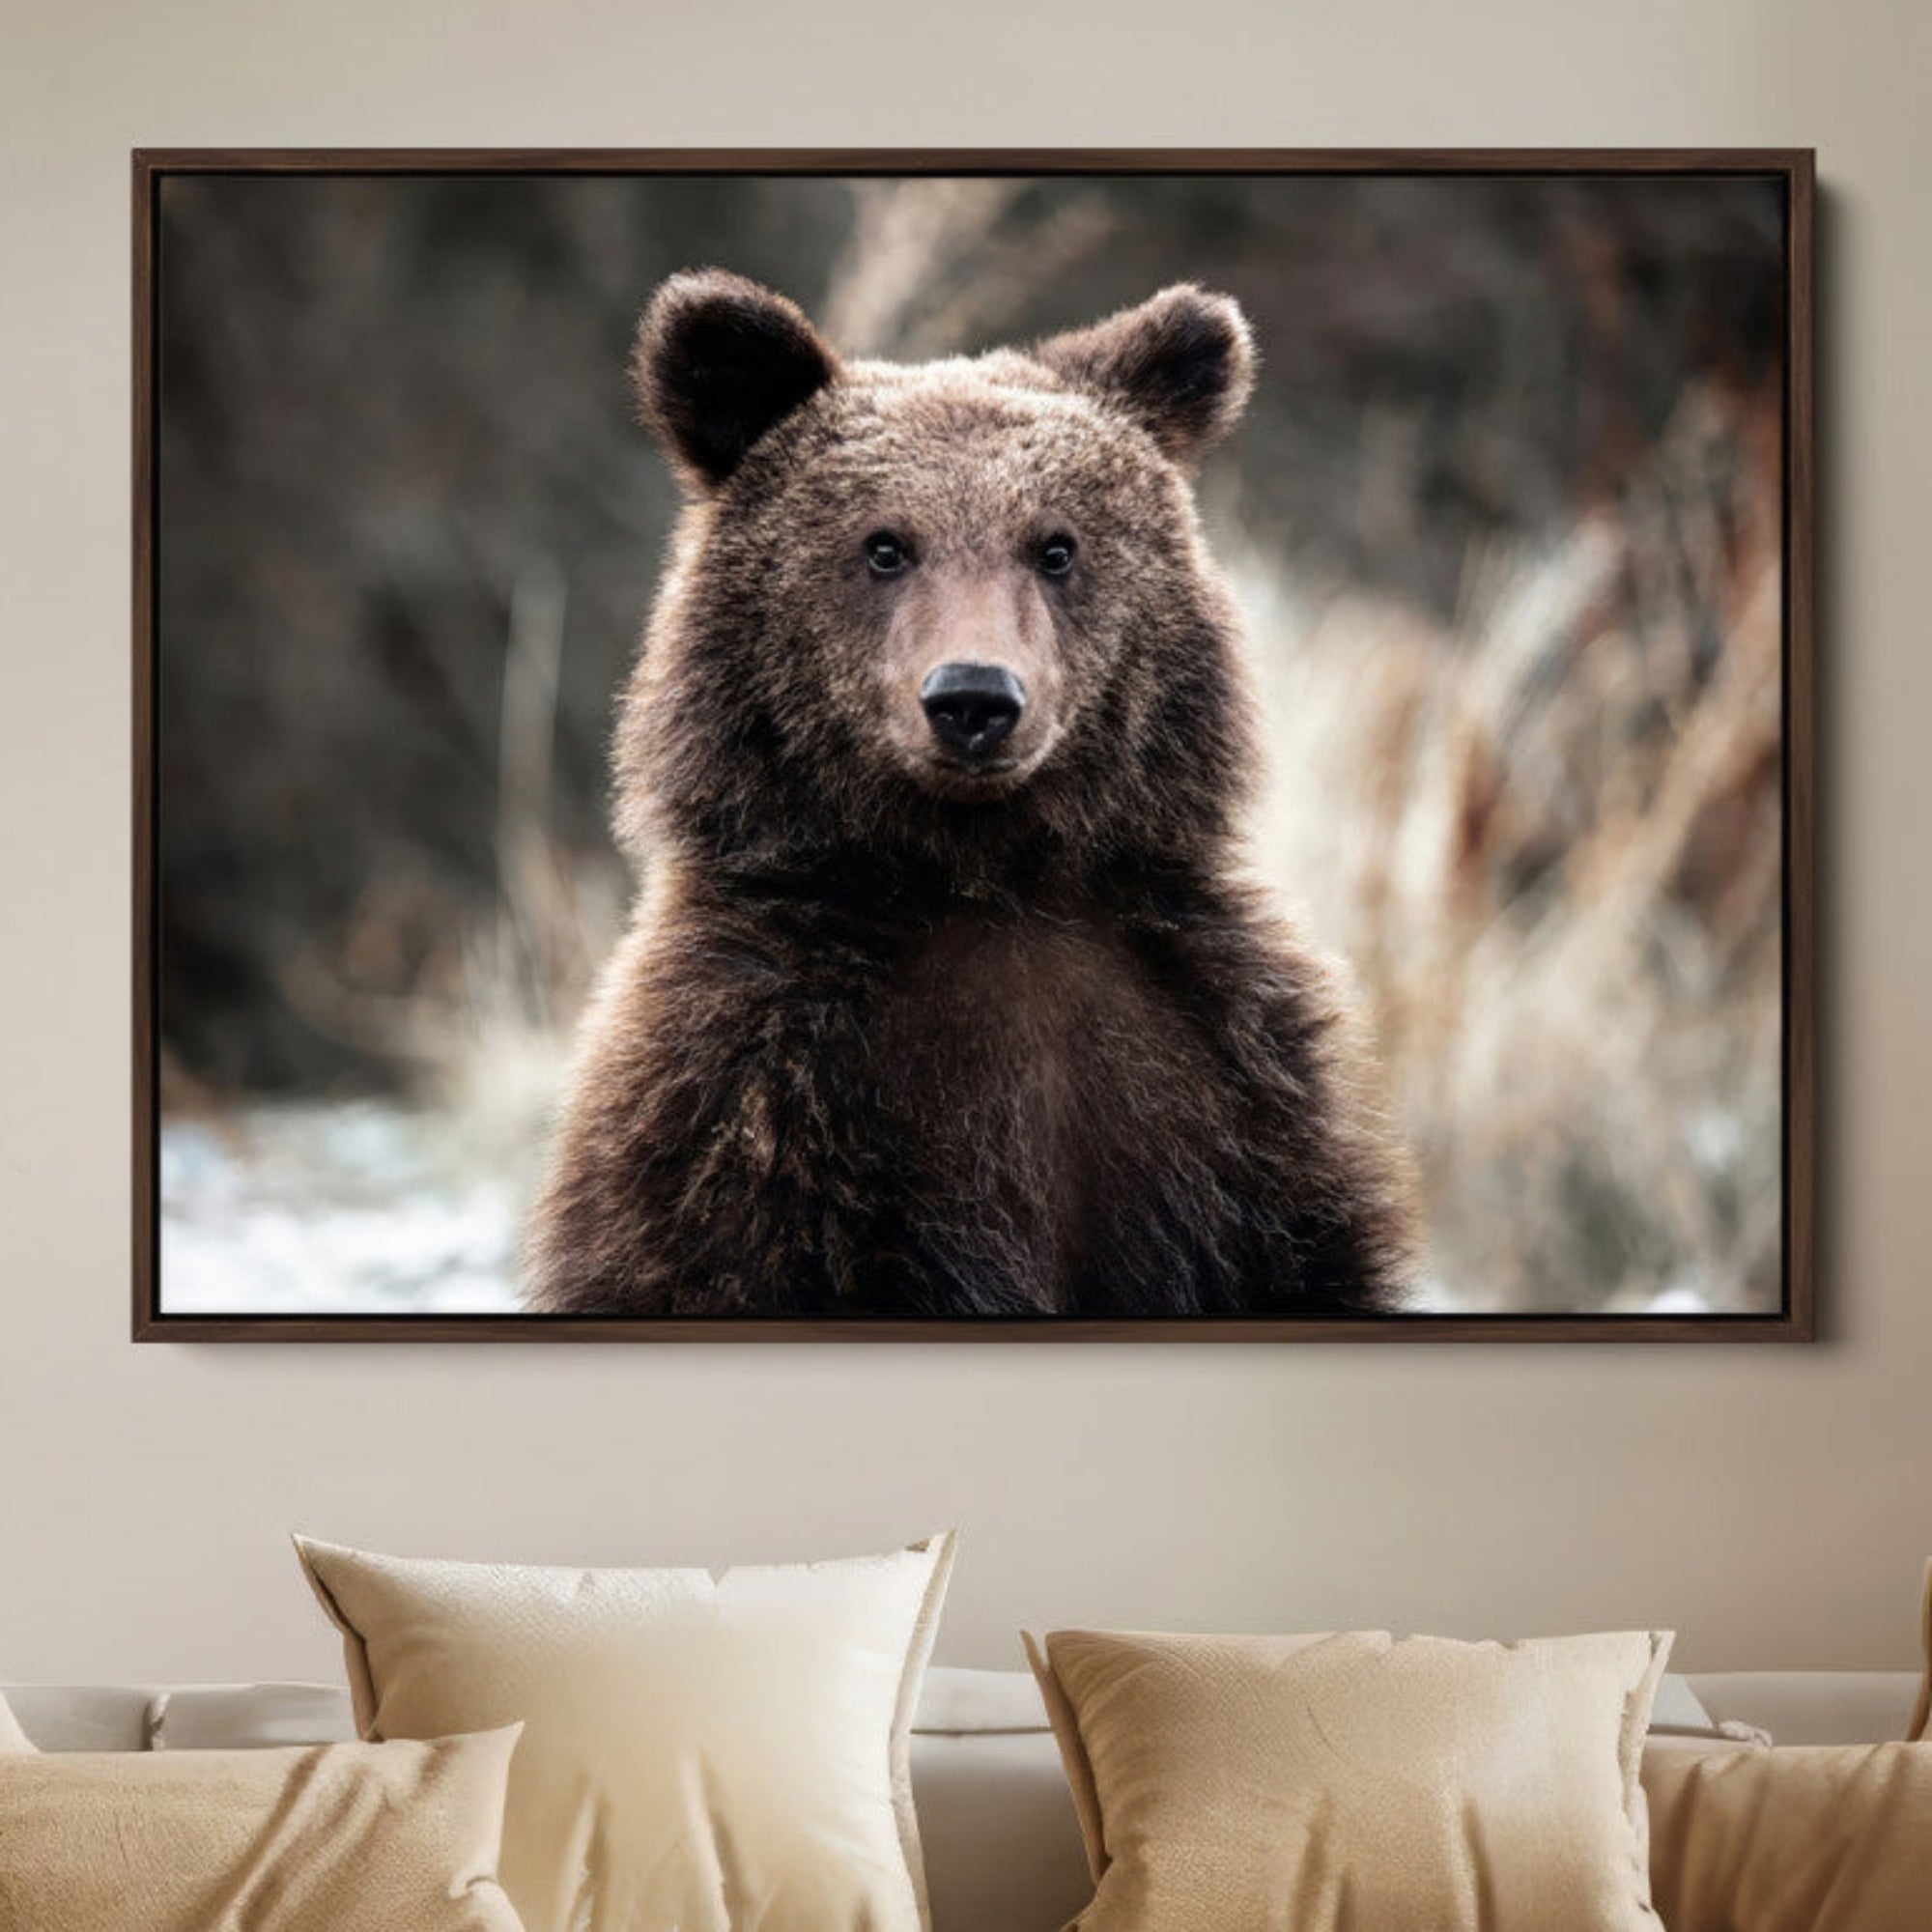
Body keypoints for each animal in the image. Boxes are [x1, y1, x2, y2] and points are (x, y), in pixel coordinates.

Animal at [523, 271, 1419, 1318]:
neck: (985, 877)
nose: (973, 699)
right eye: (883, 545)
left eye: (1056, 547)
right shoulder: (752, 1102)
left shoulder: (1228, 1094)